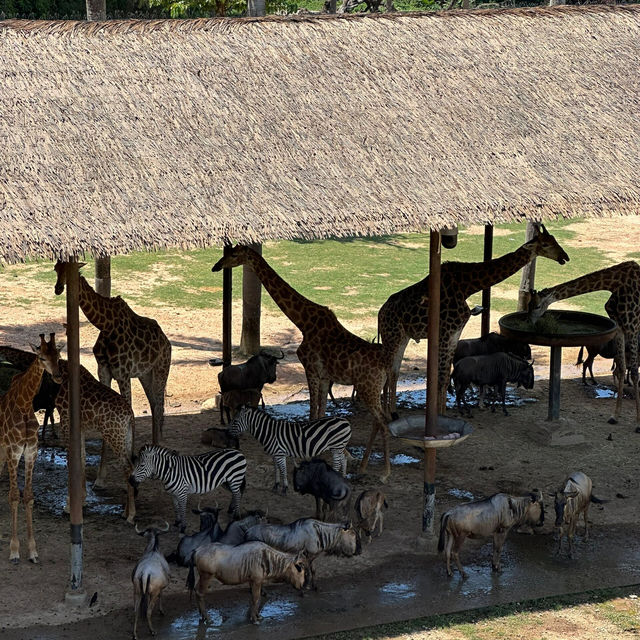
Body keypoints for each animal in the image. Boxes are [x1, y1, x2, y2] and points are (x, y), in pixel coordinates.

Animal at [0, 332, 60, 564]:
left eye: (58, 355)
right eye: (42, 357)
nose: (58, 376)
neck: (25, 405)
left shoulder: (31, 452)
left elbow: (28, 496)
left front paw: (33, 551)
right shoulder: (14, 452)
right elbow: (14, 496)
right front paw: (14, 550)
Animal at [53, 260, 171, 444]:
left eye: (70, 271)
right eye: (56, 269)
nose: (58, 288)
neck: (106, 325)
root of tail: (166, 341)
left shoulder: (123, 374)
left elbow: (130, 408)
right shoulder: (103, 370)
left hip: (162, 368)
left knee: (159, 406)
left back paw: (158, 443)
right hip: (145, 374)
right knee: (153, 404)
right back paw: (154, 441)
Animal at [210, 245, 392, 480]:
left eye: (233, 255)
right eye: (227, 251)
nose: (216, 266)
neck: (303, 322)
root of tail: (385, 366)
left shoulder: (311, 370)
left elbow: (313, 414)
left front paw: (309, 455)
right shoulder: (324, 376)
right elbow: (321, 413)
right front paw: (334, 452)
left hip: (367, 388)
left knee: (383, 423)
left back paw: (385, 472)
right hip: (372, 389)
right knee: (379, 422)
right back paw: (362, 467)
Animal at [378, 225, 568, 416]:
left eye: (554, 239)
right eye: (545, 244)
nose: (565, 257)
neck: (467, 286)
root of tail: (380, 314)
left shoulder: (454, 334)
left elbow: (445, 378)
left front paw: (443, 413)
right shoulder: (445, 333)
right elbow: (440, 378)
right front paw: (439, 415)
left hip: (403, 338)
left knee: (394, 372)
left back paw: (392, 411)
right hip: (392, 337)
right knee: (387, 370)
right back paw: (388, 413)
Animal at [528, 262, 640, 428]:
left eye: (536, 306)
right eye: (529, 304)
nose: (528, 321)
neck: (614, 283)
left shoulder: (633, 324)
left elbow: (634, 373)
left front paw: (638, 423)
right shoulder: (620, 325)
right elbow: (621, 368)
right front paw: (615, 416)